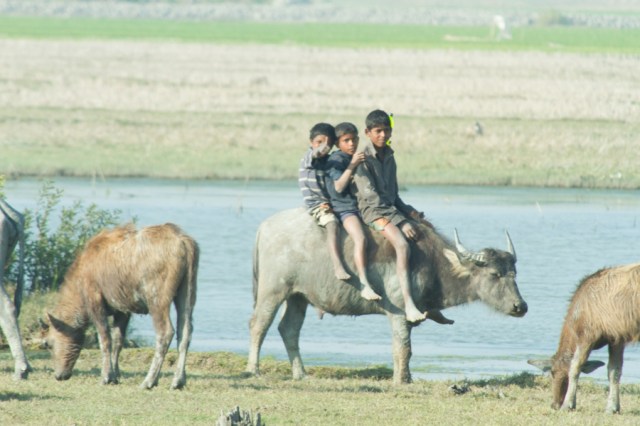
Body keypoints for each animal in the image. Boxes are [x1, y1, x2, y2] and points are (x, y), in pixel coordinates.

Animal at [44, 223, 198, 390]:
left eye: (48, 343)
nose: (59, 375)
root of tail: (185, 243)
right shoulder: (123, 309)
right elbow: (118, 340)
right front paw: (116, 375)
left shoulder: (95, 300)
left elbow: (105, 339)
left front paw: (106, 376)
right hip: (187, 291)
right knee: (186, 331)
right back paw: (178, 380)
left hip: (156, 296)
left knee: (165, 332)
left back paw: (149, 380)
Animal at [246, 208, 528, 384]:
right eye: (494, 274)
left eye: (514, 273)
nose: (520, 306)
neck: (432, 262)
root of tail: (264, 227)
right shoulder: (400, 312)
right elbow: (402, 348)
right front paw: (400, 380)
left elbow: (408, 350)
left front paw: (408, 378)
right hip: (272, 291)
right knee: (259, 325)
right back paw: (252, 369)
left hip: (298, 296)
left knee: (288, 329)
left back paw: (301, 374)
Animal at [528, 263, 640, 414]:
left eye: (553, 372)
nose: (555, 403)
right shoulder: (616, 339)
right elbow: (614, 370)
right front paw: (613, 407)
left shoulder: (587, 335)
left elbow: (575, 367)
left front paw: (568, 404)